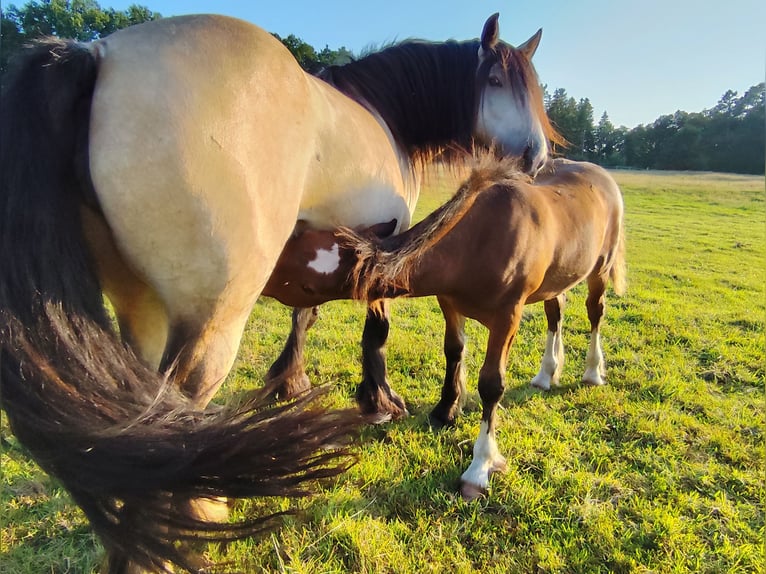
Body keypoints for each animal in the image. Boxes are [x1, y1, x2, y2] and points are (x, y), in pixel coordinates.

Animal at [0, 11, 560, 572]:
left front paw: (291, 380)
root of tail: (97, 54)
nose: (537, 158)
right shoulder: (385, 251)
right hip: (211, 323)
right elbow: (376, 330)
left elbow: (304, 316)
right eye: (495, 80)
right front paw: (379, 400)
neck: (383, 115)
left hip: (141, 309)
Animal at [268, 158, 628, 500]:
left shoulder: (507, 317)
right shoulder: (450, 304)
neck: (481, 239)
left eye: (302, 280)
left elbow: (492, 384)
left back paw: (592, 371)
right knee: (556, 312)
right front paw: (445, 411)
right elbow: (453, 351)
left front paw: (479, 468)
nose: (262, 276)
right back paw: (545, 374)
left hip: (600, 268)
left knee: (595, 313)